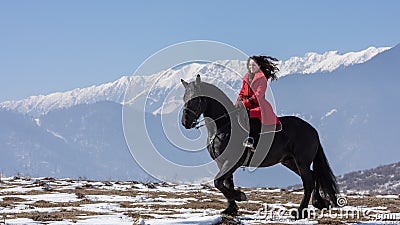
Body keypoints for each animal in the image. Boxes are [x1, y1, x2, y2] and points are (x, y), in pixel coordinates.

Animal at [183, 75, 340, 218]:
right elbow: (226, 183)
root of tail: (312, 130)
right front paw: (231, 208)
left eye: (194, 99)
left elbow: (218, 182)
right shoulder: (222, 162)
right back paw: (318, 203)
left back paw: (300, 211)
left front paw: (240, 196)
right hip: (290, 161)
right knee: (313, 176)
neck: (224, 127)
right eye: (184, 98)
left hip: (302, 162)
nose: (185, 122)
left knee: (308, 182)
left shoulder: (233, 162)